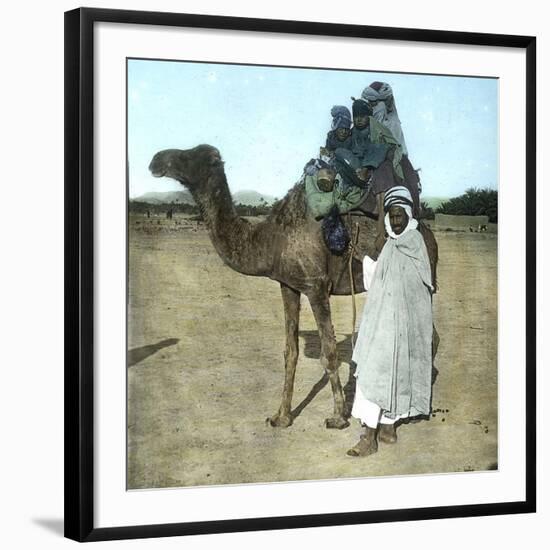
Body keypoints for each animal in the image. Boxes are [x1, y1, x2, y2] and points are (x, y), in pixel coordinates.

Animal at [150, 146, 440, 432]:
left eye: (190, 156)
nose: (156, 160)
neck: (272, 239)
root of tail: (429, 234)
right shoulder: (288, 285)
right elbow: (290, 352)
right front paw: (281, 417)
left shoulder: (316, 286)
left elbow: (329, 352)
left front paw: (338, 417)